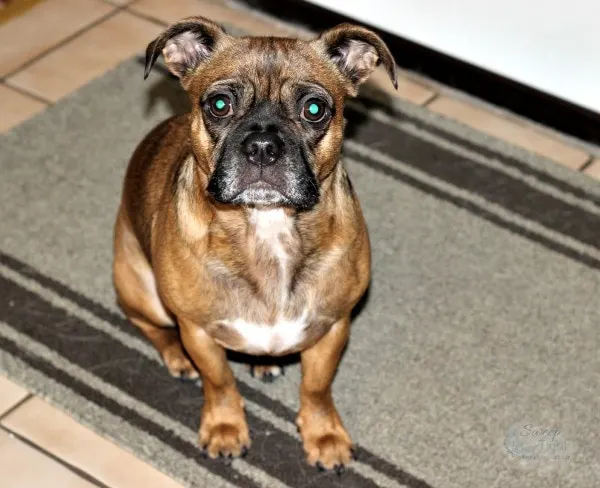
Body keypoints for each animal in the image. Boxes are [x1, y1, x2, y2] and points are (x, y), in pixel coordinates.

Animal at [113, 17, 398, 470]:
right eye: (219, 105)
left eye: (314, 109)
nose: (263, 146)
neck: (268, 227)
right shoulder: (198, 331)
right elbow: (219, 383)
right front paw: (225, 428)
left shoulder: (333, 327)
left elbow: (316, 389)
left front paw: (323, 435)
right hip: (142, 291)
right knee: (151, 327)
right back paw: (177, 358)